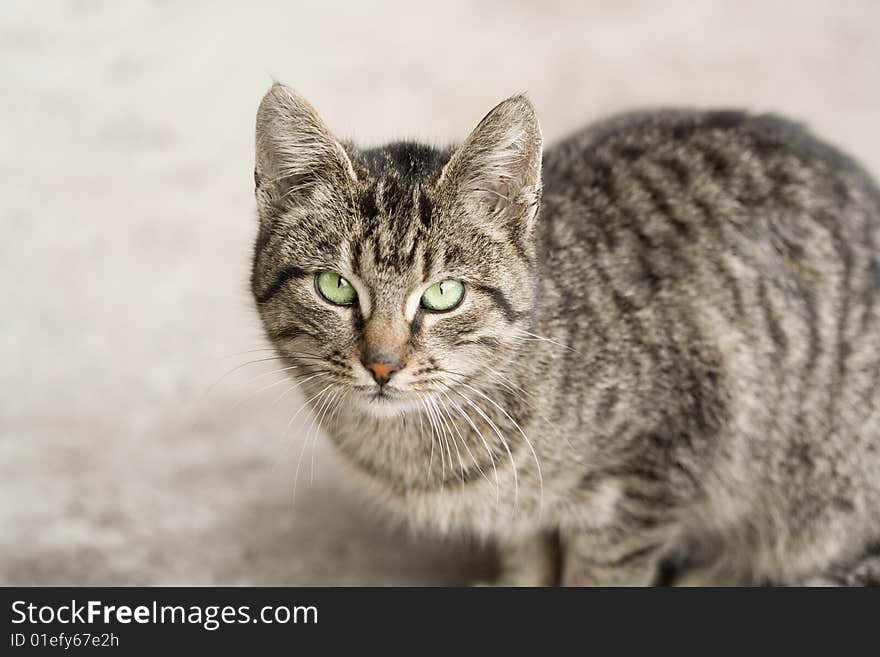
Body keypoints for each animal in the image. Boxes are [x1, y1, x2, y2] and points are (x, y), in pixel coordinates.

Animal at [248, 83, 880, 584]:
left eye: (443, 294)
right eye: (335, 286)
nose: (382, 364)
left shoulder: (646, 481)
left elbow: (602, 577)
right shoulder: (520, 516)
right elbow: (528, 563)